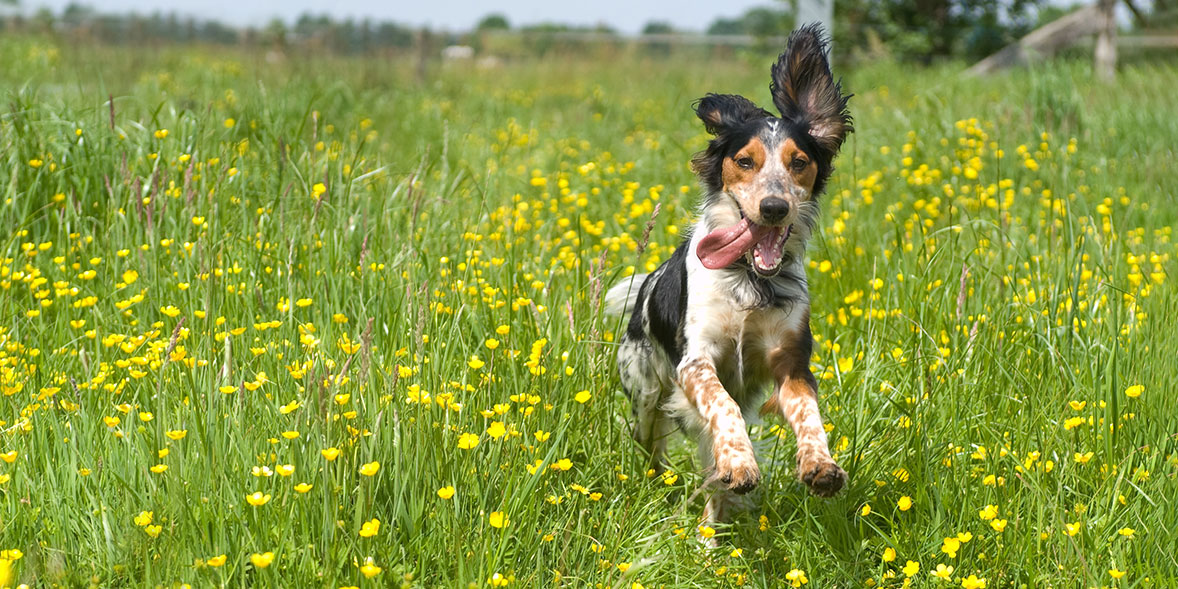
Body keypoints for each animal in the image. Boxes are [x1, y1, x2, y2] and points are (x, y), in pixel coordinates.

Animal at [607, 22, 848, 523]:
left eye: (799, 162)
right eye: (744, 161)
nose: (773, 207)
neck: (749, 281)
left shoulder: (791, 361)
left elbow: (808, 412)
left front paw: (820, 464)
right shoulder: (695, 361)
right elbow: (724, 406)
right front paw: (740, 464)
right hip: (643, 391)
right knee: (652, 443)